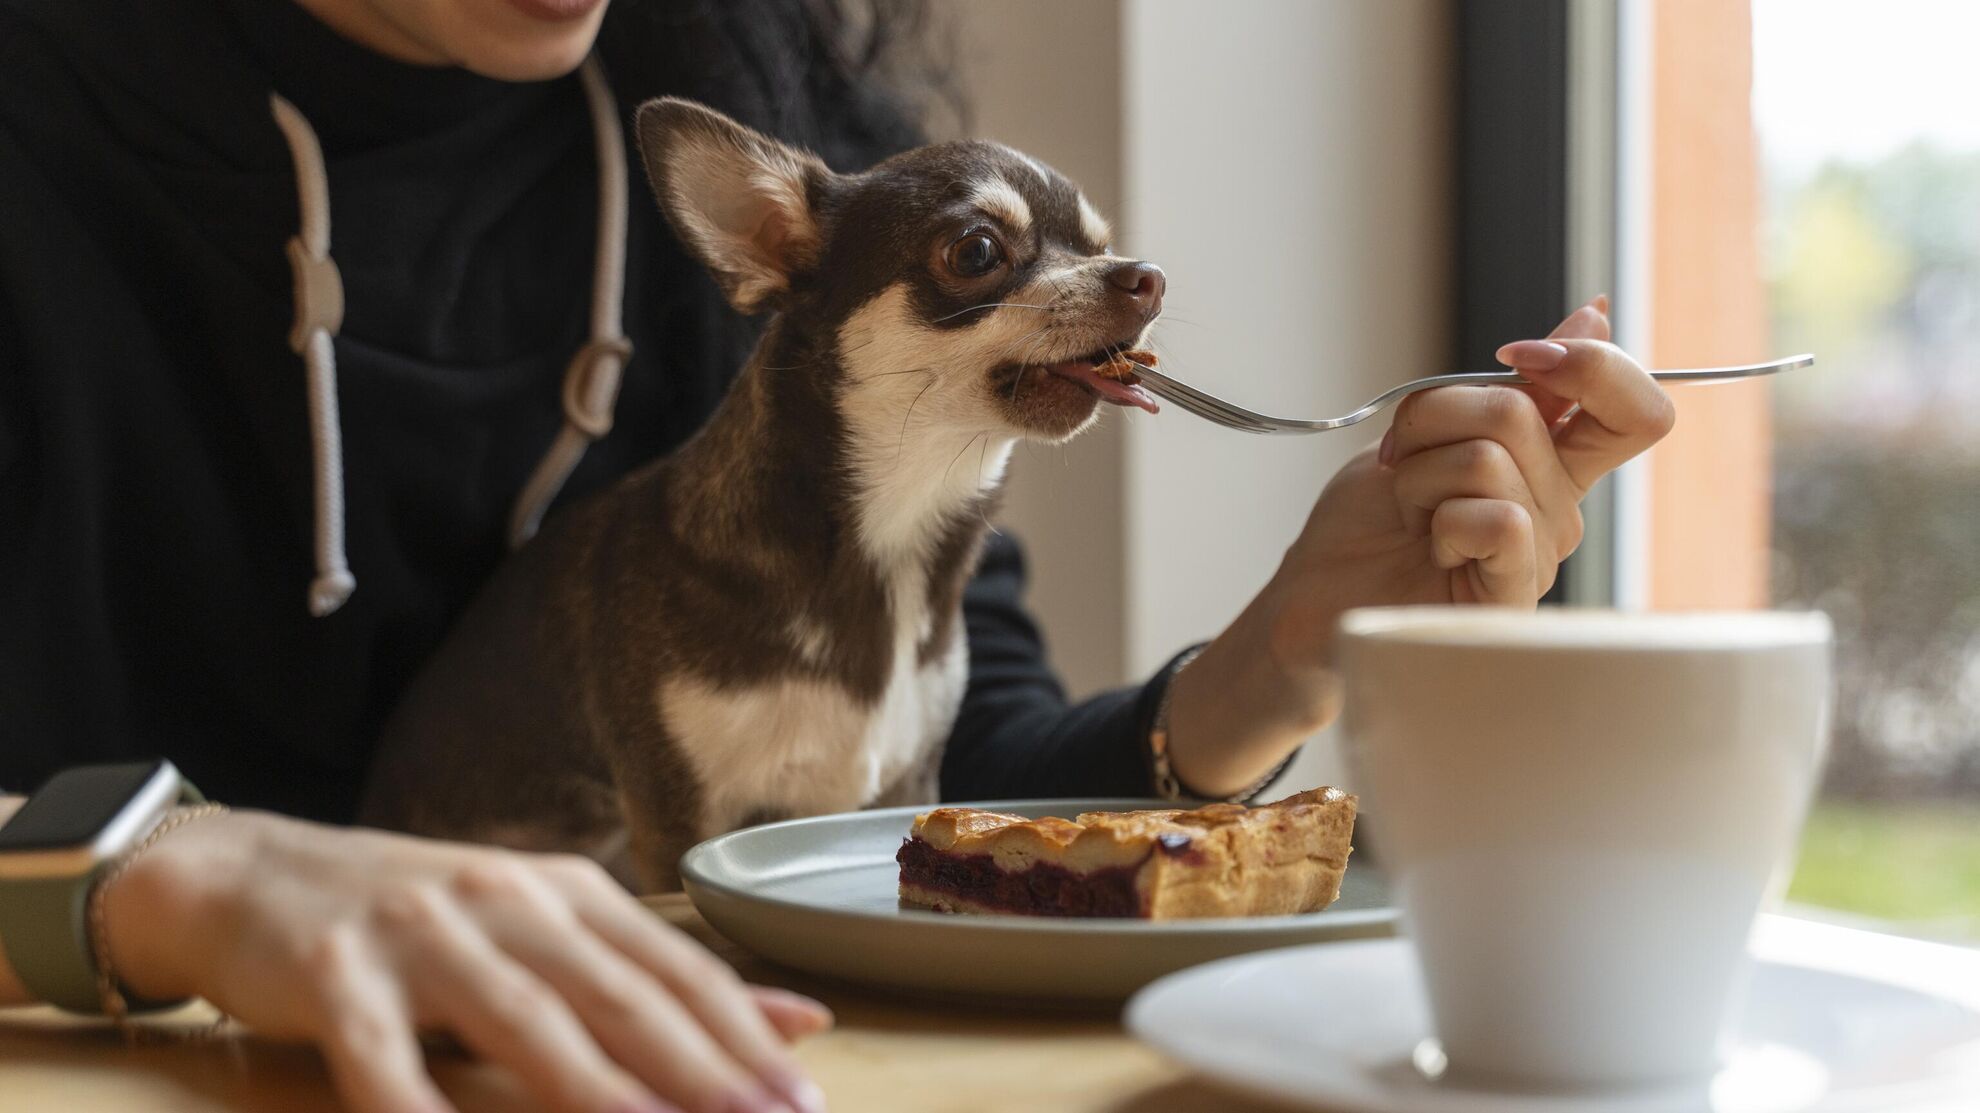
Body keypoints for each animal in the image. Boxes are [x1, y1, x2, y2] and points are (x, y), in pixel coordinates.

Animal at [360, 99, 1156, 887]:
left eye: (1101, 244)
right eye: (976, 253)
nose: (1144, 275)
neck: (890, 538)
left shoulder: (909, 780)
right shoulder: (678, 814)